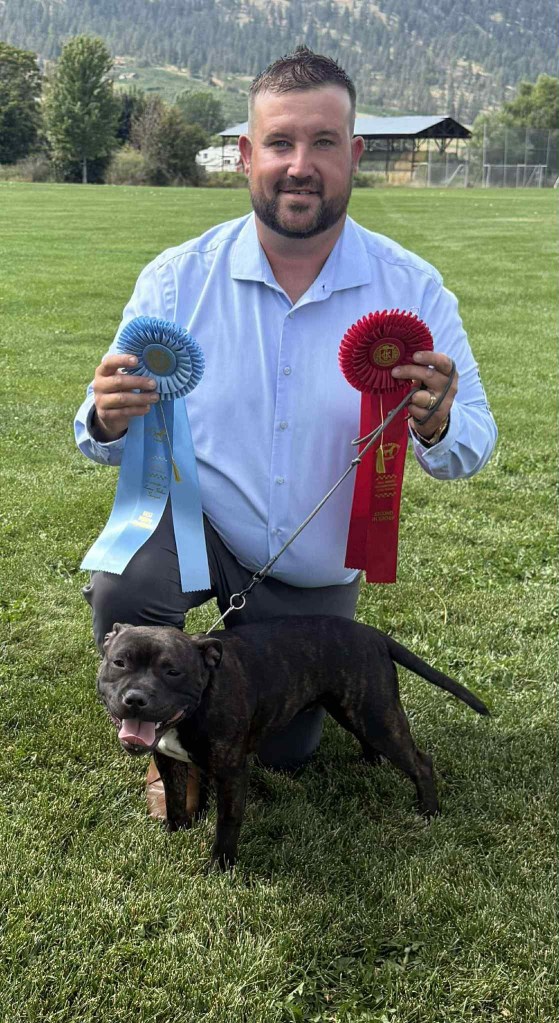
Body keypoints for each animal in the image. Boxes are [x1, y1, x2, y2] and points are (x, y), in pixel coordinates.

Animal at [97, 616, 489, 869]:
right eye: (119, 663)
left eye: (173, 671)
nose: (136, 699)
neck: (200, 700)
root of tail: (375, 635)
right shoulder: (169, 760)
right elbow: (176, 799)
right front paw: (176, 831)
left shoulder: (232, 775)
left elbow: (227, 823)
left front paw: (220, 867)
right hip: (355, 710)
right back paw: (368, 765)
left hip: (378, 718)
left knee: (420, 761)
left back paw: (428, 811)